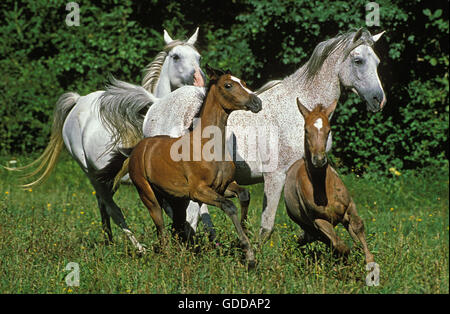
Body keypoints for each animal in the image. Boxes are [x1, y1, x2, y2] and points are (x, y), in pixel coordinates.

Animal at [10, 27, 204, 253]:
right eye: (176, 56)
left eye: (198, 57)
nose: (199, 80)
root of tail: (78, 101)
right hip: (91, 174)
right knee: (112, 208)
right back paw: (138, 248)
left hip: (107, 179)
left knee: (103, 206)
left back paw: (108, 240)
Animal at [127, 66, 260, 268]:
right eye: (228, 85)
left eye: (243, 82)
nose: (257, 102)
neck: (209, 145)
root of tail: (138, 149)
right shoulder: (198, 191)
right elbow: (229, 206)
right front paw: (248, 253)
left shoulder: (223, 186)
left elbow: (244, 195)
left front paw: (244, 241)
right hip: (149, 196)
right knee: (161, 229)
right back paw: (168, 259)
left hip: (175, 198)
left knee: (175, 226)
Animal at [284, 98, 374, 264]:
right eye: (306, 130)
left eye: (329, 130)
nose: (319, 160)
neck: (324, 188)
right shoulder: (319, 221)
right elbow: (340, 246)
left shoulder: (349, 206)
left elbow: (358, 226)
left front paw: (369, 260)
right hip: (309, 226)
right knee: (320, 239)